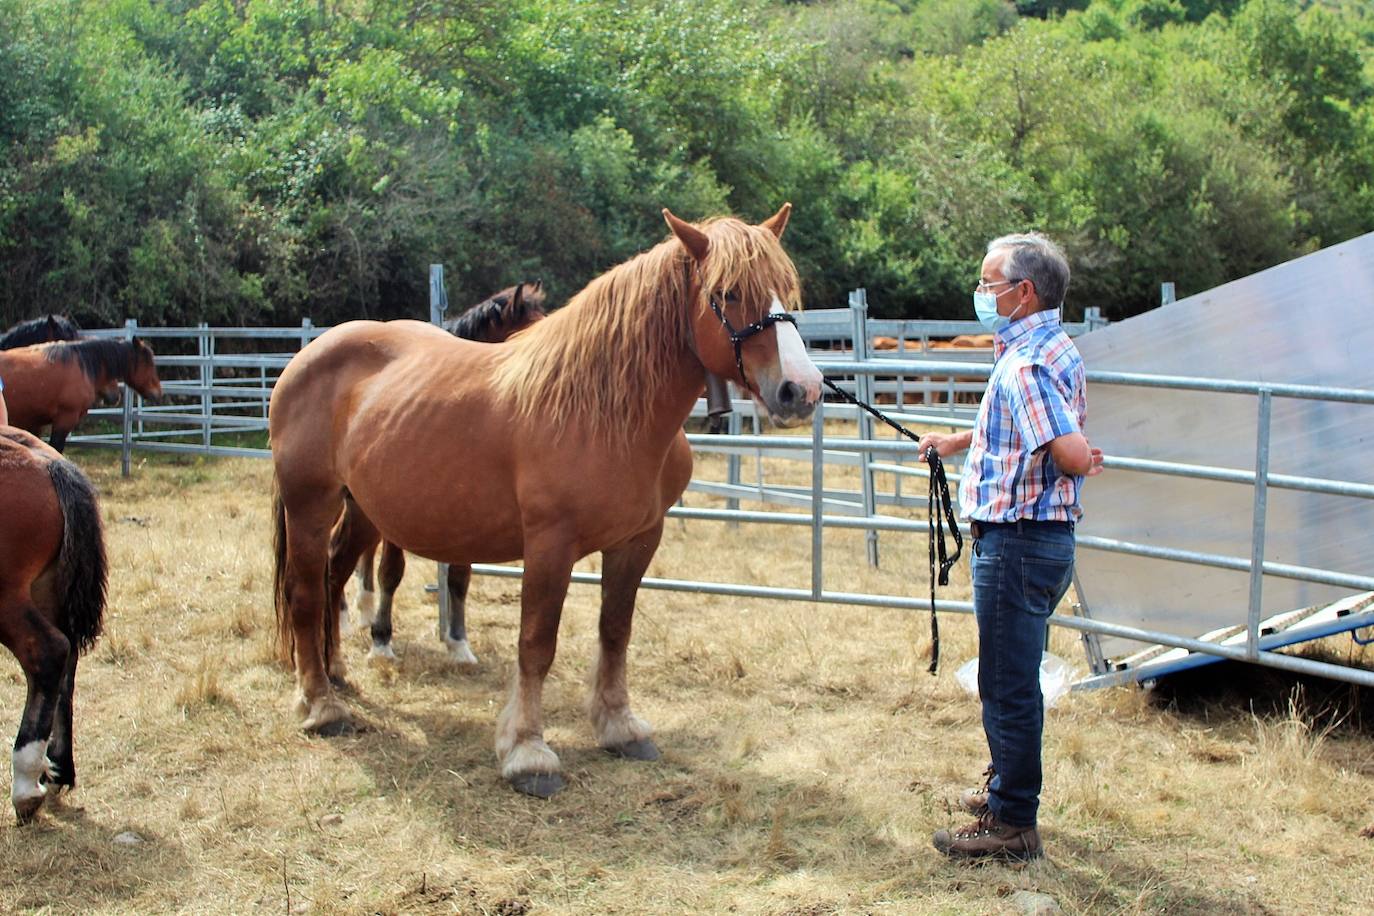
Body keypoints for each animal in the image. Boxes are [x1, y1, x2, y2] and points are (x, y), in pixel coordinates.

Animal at [0, 428, 106, 823]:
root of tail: (48, 463)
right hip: (47, 592)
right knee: (67, 662)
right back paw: (57, 768)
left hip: (8, 601)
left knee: (49, 654)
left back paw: (26, 785)